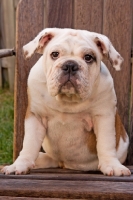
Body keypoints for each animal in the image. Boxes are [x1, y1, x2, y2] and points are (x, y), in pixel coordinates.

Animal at [1, 28, 131, 177]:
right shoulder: (36, 117)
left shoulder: (103, 117)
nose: (70, 65)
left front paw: (112, 165)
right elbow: (29, 144)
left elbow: (106, 143)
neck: (67, 99)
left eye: (88, 57)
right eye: (55, 54)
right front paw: (19, 165)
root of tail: (65, 164)